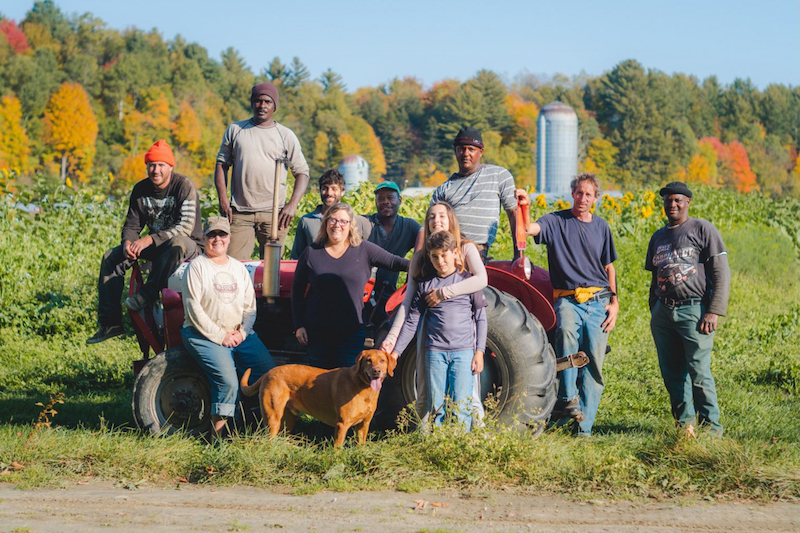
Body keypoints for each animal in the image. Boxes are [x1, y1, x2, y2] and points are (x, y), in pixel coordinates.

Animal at [241, 350, 396, 444]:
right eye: (368, 360)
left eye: (382, 360)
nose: (377, 371)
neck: (364, 389)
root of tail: (267, 373)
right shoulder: (342, 424)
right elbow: (338, 448)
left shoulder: (364, 424)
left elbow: (361, 445)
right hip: (273, 418)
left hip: (288, 419)